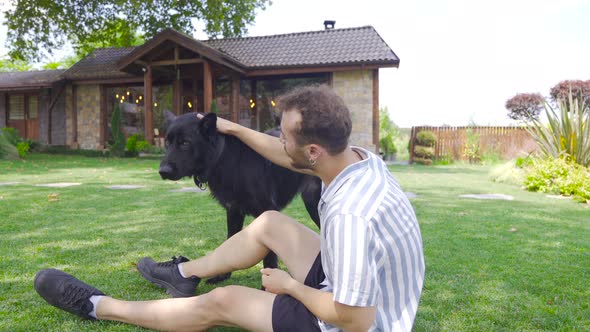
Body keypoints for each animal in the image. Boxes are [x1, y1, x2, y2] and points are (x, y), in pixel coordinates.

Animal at [160, 111, 322, 282]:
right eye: (167, 143)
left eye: (185, 142)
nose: (162, 171)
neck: (223, 158)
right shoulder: (233, 211)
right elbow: (230, 241)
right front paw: (222, 276)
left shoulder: (267, 212)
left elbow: (269, 257)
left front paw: (267, 285)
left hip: (312, 201)